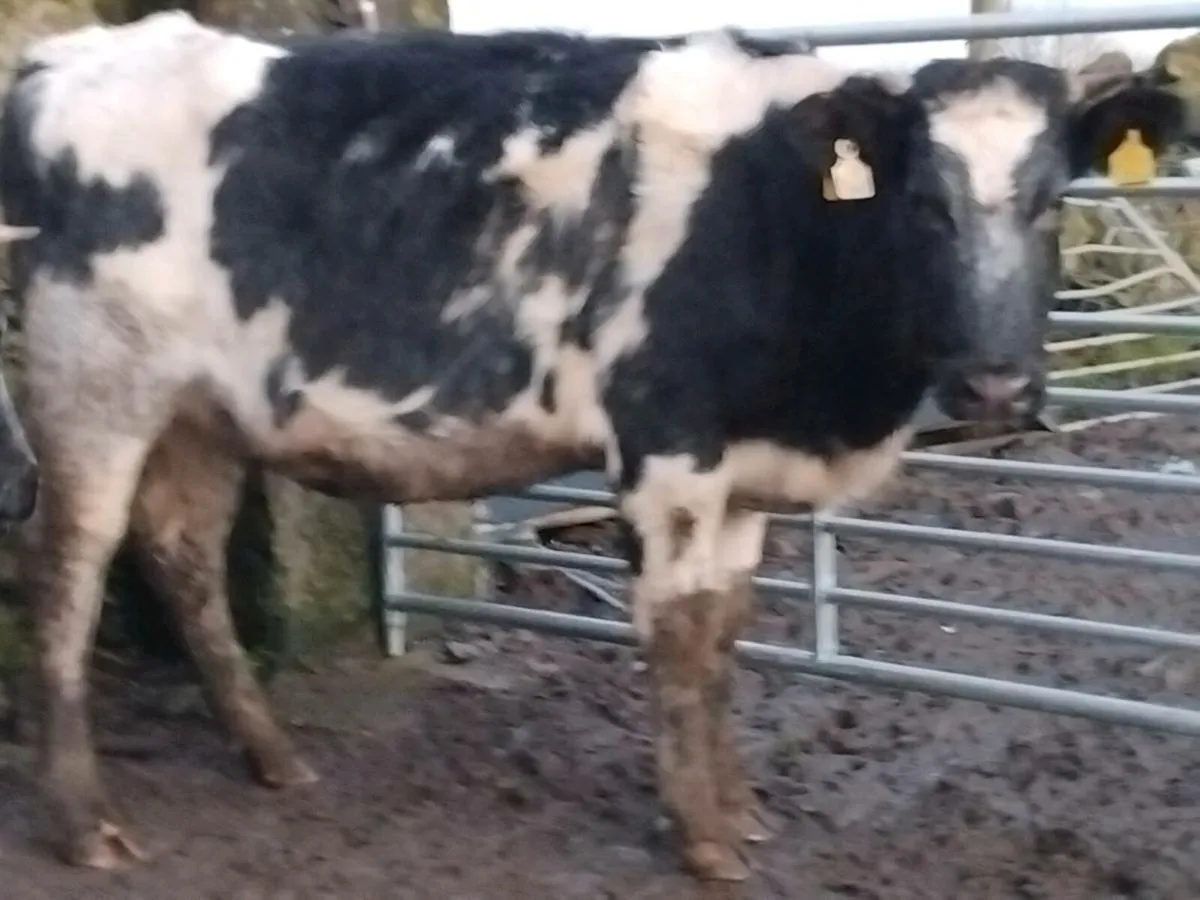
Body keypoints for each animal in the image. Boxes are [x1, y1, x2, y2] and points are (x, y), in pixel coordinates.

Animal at [0, 11, 1187, 882]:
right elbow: (678, 642)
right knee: (67, 568)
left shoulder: (740, 471)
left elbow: (726, 637)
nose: (995, 384)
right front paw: (703, 839)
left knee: (181, 553)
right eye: (924, 203)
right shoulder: (666, 449)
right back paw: (82, 821)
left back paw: (274, 757)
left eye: (1052, 199)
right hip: (91, 383)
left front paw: (738, 808)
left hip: (200, 409)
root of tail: (69, 56)